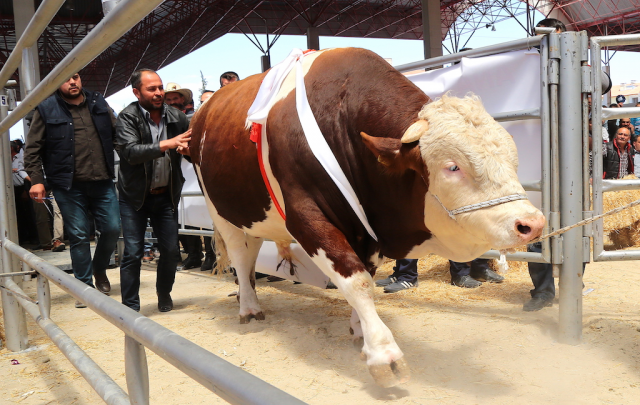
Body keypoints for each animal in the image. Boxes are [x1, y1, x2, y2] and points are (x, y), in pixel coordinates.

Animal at [190, 47, 544, 386]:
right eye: (452, 166)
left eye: (513, 159)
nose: (532, 224)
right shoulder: (307, 219)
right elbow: (356, 281)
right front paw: (382, 352)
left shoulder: (368, 228)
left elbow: (367, 277)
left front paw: (359, 328)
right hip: (221, 212)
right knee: (239, 255)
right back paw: (249, 308)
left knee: (250, 256)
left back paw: (246, 294)